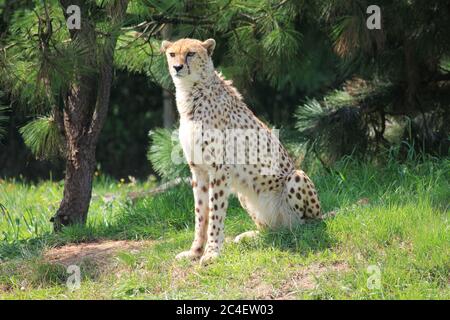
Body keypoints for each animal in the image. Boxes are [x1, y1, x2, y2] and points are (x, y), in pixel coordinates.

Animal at [160, 37, 322, 264]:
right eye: (172, 54)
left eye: (191, 53)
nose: (177, 67)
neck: (191, 92)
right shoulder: (198, 170)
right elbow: (201, 214)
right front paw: (195, 252)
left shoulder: (219, 169)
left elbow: (215, 213)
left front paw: (211, 252)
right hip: (245, 195)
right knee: (273, 230)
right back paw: (253, 236)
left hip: (296, 177)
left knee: (305, 225)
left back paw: (302, 229)